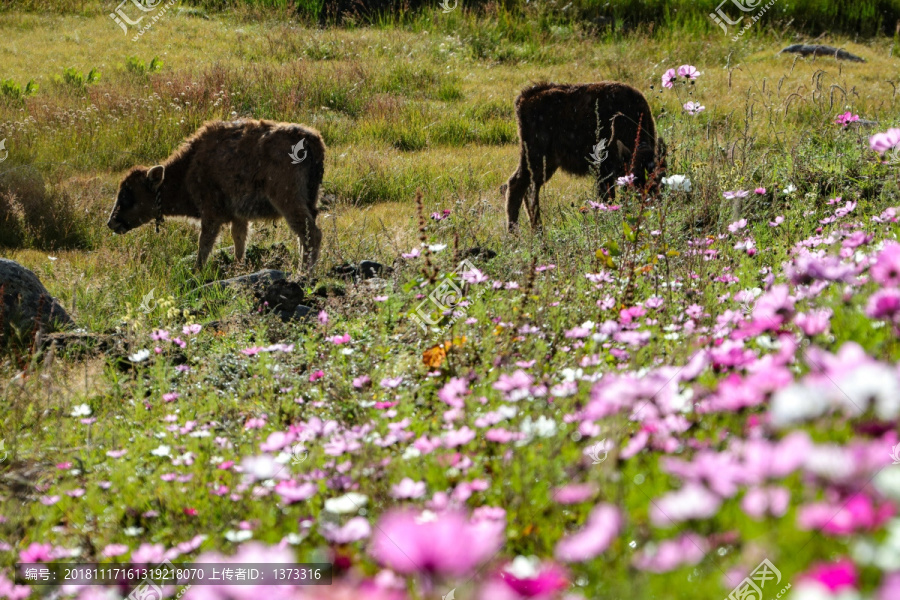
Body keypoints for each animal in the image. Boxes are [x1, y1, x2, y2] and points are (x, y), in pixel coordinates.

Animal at [108, 119, 326, 270]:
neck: (188, 168)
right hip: (309, 201)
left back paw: (304, 273)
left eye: (128, 195)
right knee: (305, 236)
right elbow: (239, 241)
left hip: (288, 201)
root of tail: (311, 140)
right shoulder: (238, 217)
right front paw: (239, 268)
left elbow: (204, 244)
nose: (112, 222)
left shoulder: (211, 215)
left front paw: (197, 272)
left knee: (311, 234)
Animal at [502, 79, 664, 230]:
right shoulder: (604, 172)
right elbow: (607, 198)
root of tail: (526, 97)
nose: (653, 202)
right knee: (517, 185)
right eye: (635, 177)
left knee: (529, 189)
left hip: (547, 163)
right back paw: (517, 232)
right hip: (535, 157)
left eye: (661, 174)